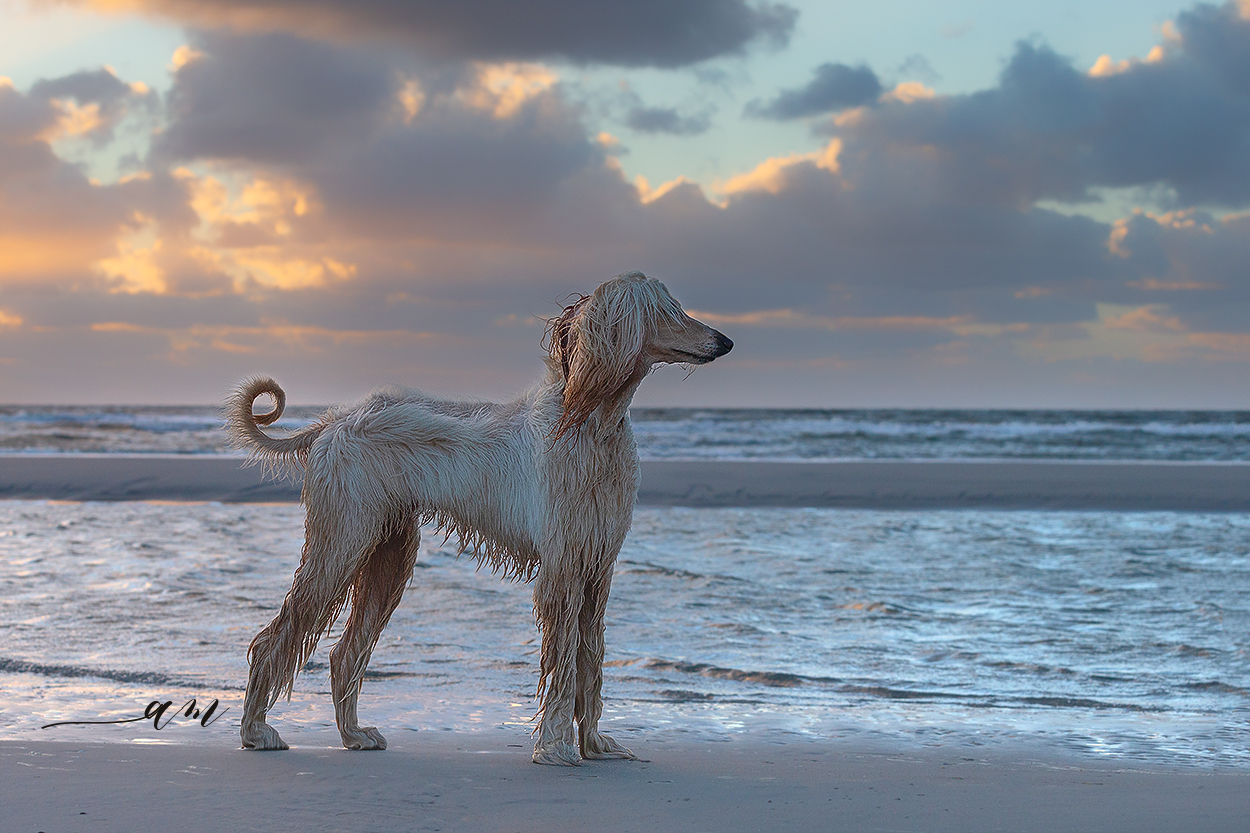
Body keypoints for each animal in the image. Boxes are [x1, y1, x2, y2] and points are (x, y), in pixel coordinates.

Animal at [225, 268, 730, 760]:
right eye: (667, 311)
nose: (725, 342)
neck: (592, 423)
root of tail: (334, 421)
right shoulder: (564, 563)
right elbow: (566, 659)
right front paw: (556, 745)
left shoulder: (597, 562)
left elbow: (591, 657)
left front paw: (593, 743)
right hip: (342, 538)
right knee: (276, 638)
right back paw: (256, 731)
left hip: (390, 548)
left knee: (346, 653)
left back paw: (353, 734)